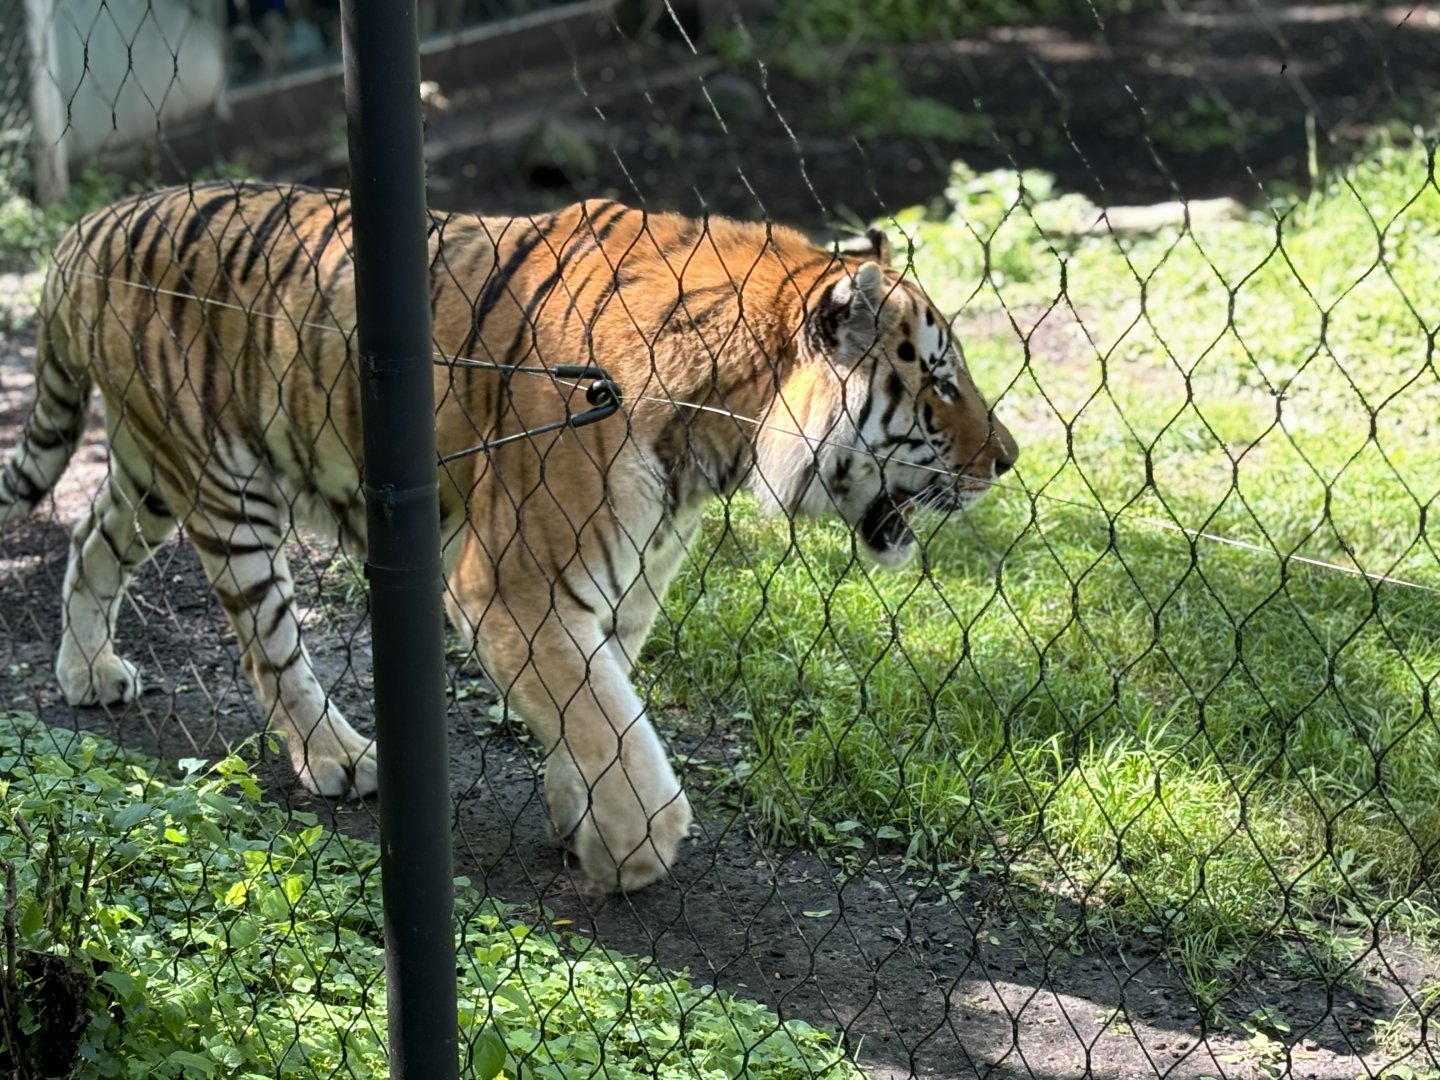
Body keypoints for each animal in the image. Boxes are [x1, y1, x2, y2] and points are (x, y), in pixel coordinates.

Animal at [0, 181, 1018, 892]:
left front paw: (583, 821)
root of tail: (87, 228)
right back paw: (339, 757)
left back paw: (87, 672)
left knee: (89, 543)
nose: (1007, 460)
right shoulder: (513, 585)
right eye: (939, 384)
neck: (722, 432)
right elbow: (610, 725)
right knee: (270, 649)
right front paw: (633, 847)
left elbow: (599, 705)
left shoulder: (621, 585)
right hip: (228, 490)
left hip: (153, 470)